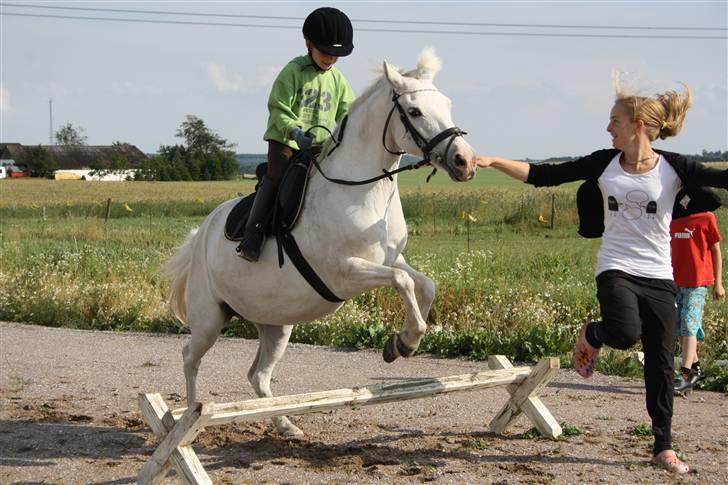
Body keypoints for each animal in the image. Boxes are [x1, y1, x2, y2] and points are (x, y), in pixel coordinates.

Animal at [168, 47, 480, 436]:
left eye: (447, 104)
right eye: (414, 112)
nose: (465, 161)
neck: (362, 189)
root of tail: (202, 233)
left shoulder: (390, 258)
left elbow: (425, 284)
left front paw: (401, 341)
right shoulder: (346, 273)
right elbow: (403, 282)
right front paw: (406, 340)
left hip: (276, 324)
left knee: (258, 375)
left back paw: (285, 424)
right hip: (209, 318)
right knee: (190, 359)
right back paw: (191, 419)